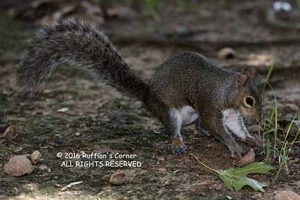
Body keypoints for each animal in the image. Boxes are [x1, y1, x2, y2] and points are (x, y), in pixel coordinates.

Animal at [16, 20, 262, 158]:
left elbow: (236, 127)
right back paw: (177, 143)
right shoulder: (210, 105)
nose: (259, 120)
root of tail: (147, 96)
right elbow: (218, 127)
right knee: (174, 128)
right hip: (169, 111)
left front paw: (251, 139)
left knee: (199, 125)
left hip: (191, 114)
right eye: (249, 100)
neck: (226, 91)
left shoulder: (231, 114)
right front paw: (234, 147)